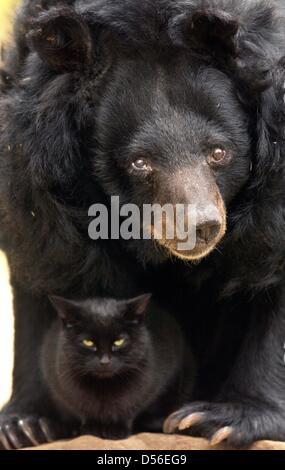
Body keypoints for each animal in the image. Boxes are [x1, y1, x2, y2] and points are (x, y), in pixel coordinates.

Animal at [40, 294, 193, 440]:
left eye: (119, 341)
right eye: (88, 342)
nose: (104, 361)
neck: (105, 387)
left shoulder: (144, 388)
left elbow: (128, 407)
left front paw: (117, 430)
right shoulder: (65, 389)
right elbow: (84, 409)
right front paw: (92, 429)